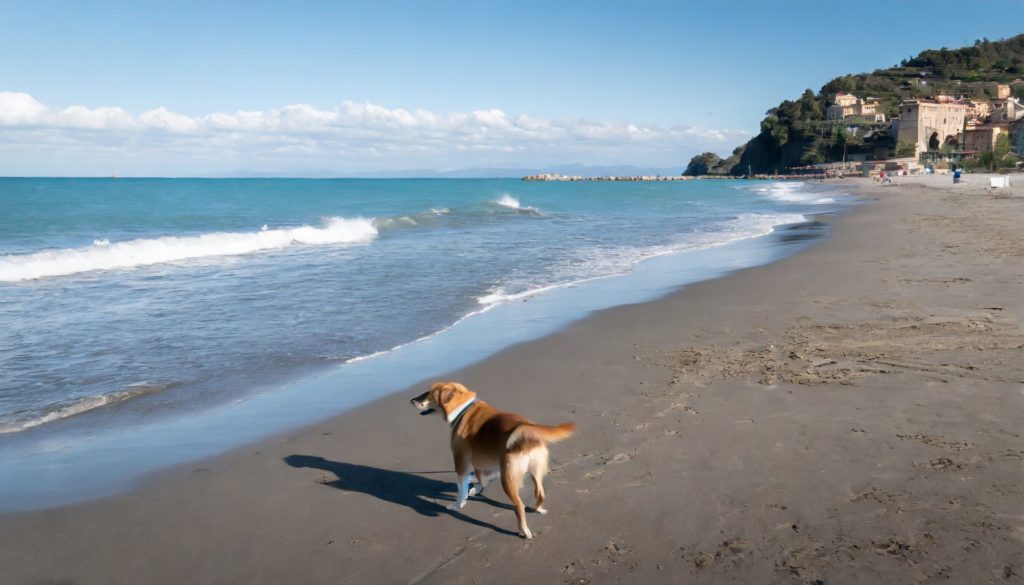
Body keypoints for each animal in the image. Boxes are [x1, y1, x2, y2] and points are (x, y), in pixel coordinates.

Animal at [409, 383, 577, 536]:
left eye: (429, 392)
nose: (411, 400)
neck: (463, 410)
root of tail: (527, 430)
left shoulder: (461, 463)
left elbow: (461, 489)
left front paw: (458, 504)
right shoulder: (485, 460)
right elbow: (482, 478)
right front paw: (477, 488)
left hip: (508, 479)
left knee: (519, 506)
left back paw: (523, 531)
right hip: (534, 470)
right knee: (540, 493)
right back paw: (538, 509)